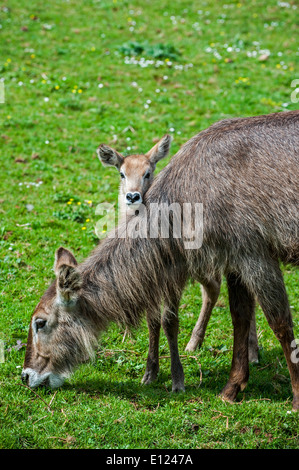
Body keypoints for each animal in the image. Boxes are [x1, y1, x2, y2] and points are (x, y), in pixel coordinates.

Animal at [21, 112, 299, 410]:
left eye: (39, 321)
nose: (26, 375)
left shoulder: (255, 251)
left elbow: (281, 324)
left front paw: (295, 398)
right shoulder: (233, 258)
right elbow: (240, 318)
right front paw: (231, 389)